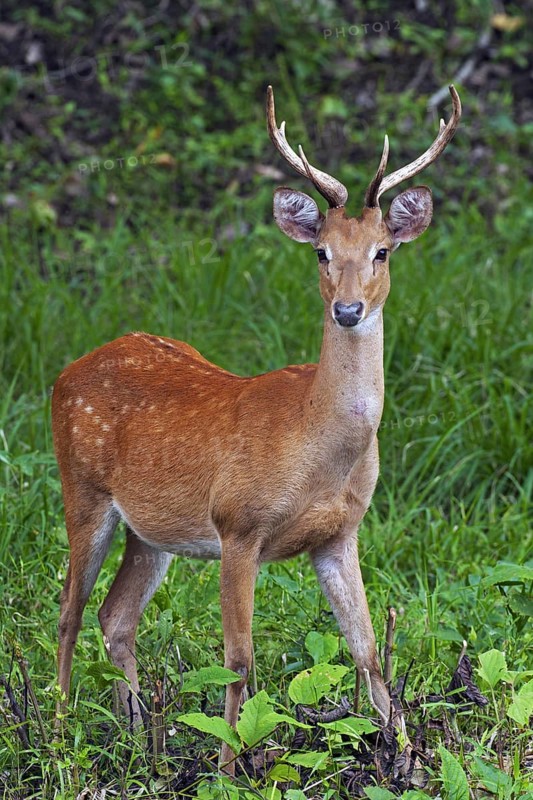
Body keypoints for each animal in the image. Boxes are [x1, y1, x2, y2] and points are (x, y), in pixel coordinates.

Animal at [52, 84, 461, 773]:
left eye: (382, 251)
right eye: (322, 252)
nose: (348, 309)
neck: (315, 446)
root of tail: (66, 371)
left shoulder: (340, 534)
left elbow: (369, 651)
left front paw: (406, 758)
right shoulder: (238, 526)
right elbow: (238, 662)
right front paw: (226, 767)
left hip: (152, 530)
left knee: (115, 615)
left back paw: (141, 740)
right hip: (82, 491)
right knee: (70, 611)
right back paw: (52, 732)